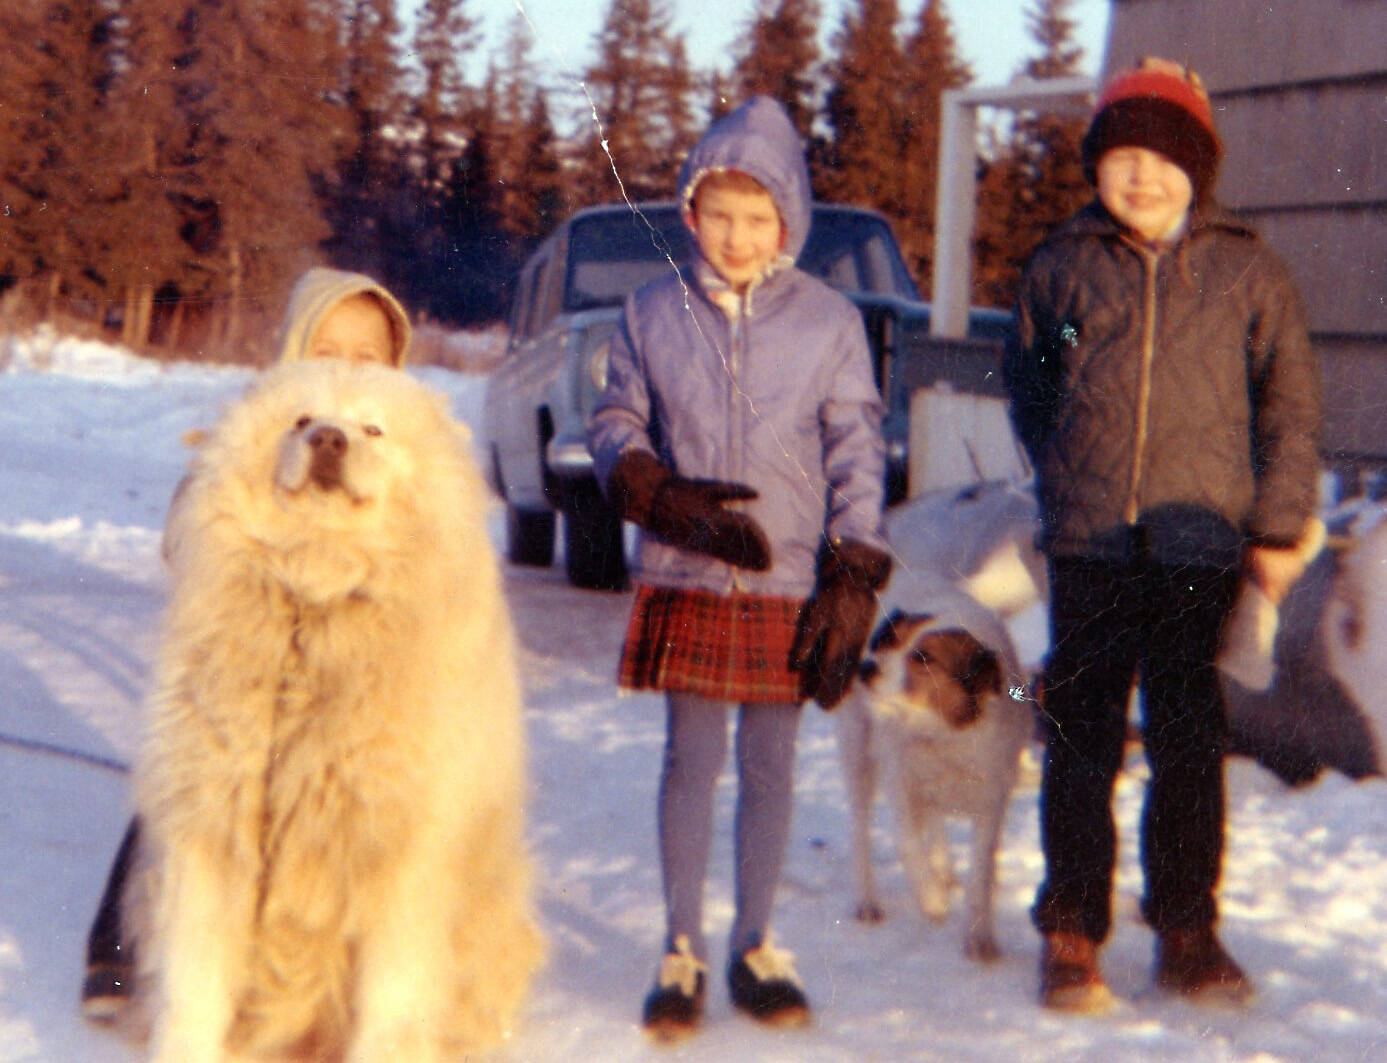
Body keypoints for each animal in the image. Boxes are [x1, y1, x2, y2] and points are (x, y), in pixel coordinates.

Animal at [126, 360, 540, 1060]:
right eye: (300, 420)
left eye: (372, 428)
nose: (327, 439)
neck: (315, 602)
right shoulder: (213, 829)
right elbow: (193, 989)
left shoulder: (399, 854)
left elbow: (392, 1007)